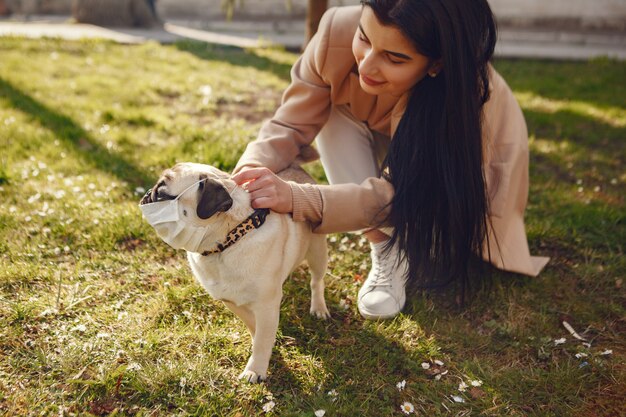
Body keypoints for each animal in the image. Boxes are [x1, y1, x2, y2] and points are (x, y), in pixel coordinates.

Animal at [139, 161, 330, 382]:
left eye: (162, 192)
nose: (148, 193)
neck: (227, 241)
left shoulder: (266, 304)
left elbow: (262, 339)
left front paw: (255, 369)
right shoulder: (231, 300)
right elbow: (255, 328)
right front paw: (264, 343)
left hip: (317, 252)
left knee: (317, 281)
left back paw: (319, 308)